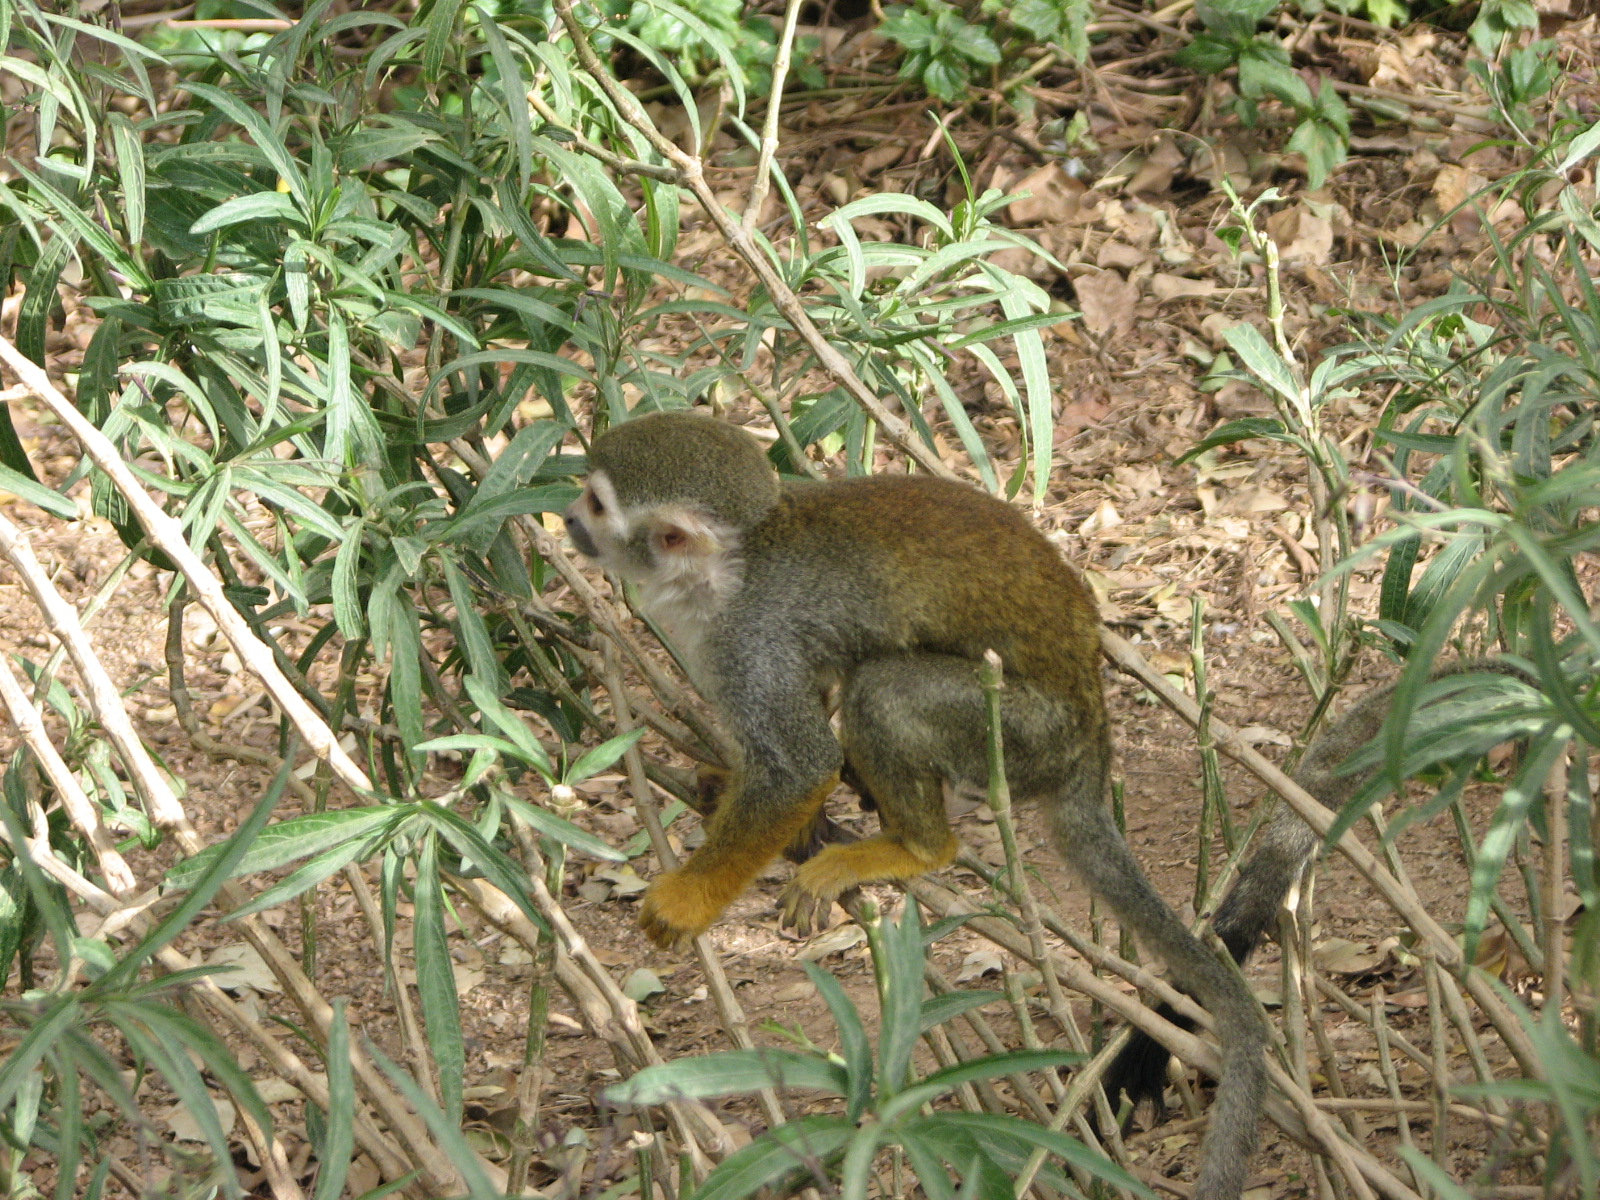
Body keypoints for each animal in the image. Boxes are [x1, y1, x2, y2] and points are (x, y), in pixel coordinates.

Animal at [564, 409, 1266, 1200]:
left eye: (597, 504)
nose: (570, 521)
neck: (730, 570)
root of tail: (1092, 739)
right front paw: (740, 793)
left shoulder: (748, 640)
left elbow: (800, 763)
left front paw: (686, 897)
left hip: (1022, 734)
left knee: (885, 691)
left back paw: (917, 845)